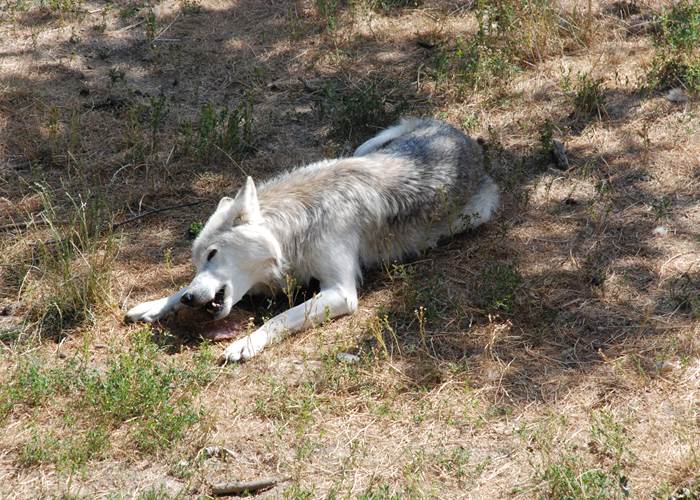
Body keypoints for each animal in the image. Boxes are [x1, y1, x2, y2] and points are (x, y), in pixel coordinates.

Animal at [125, 118, 500, 362]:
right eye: (197, 259)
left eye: (213, 254)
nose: (190, 300)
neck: (296, 227)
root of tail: (459, 134)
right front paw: (156, 304)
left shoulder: (341, 292)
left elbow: (281, 318)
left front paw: (247, 344)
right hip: (374, 144)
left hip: (475, 214)